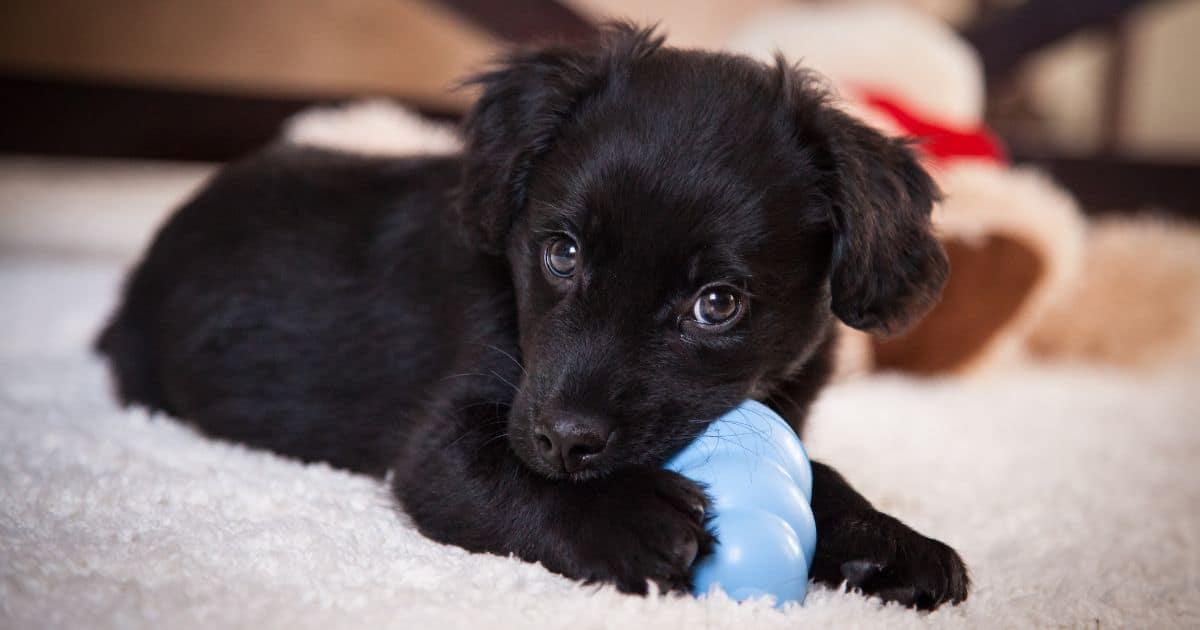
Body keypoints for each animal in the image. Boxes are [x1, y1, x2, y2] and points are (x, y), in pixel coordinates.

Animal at [98, 24, 969, 609]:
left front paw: (888, 542)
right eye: (562, 253)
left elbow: (822, 473)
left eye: (717, 304)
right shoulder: (444, 445)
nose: (565, 442)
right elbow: (497, 473)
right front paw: (627, 516)